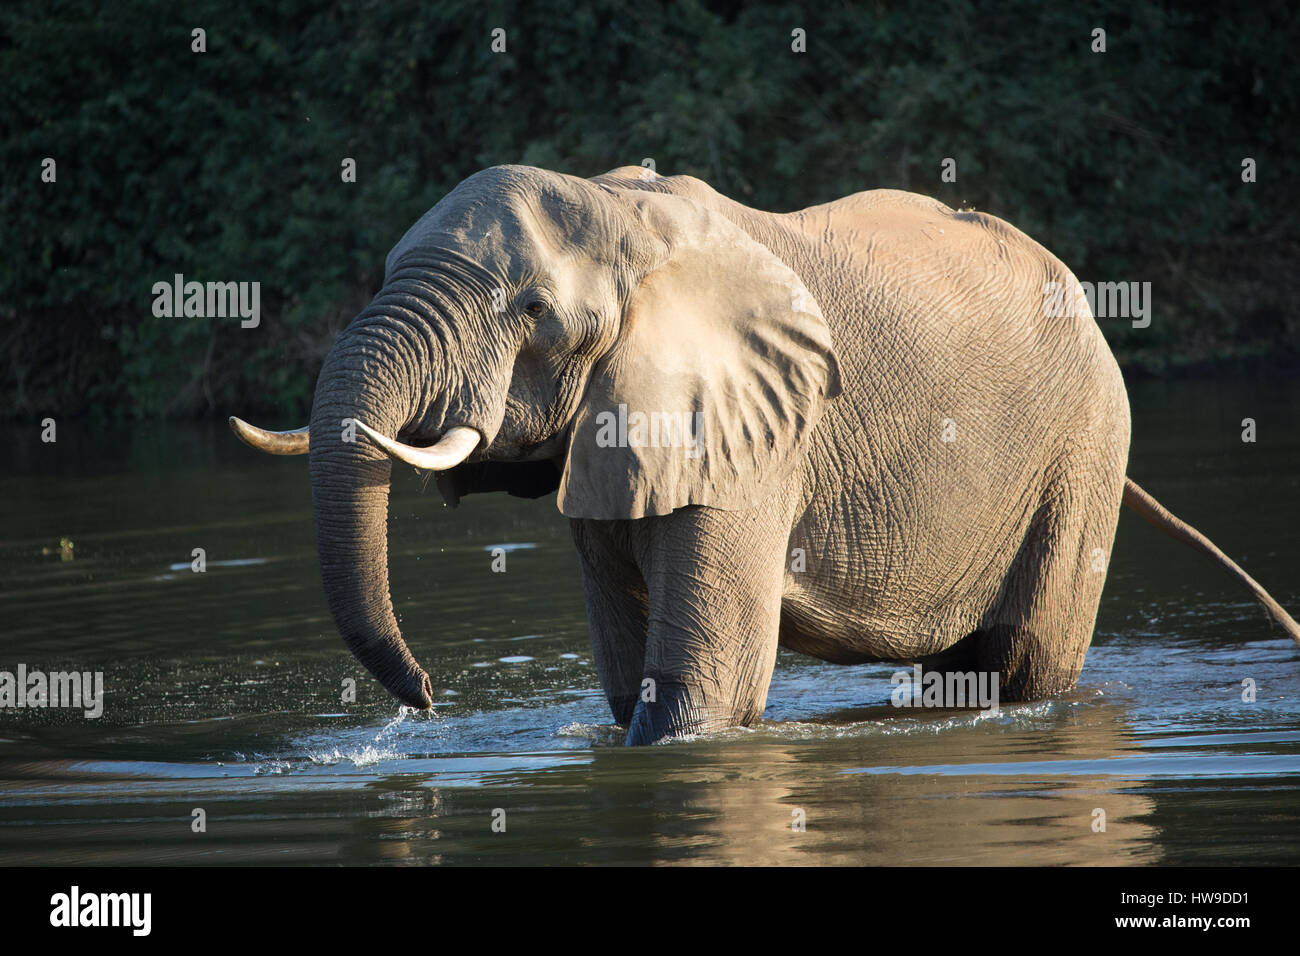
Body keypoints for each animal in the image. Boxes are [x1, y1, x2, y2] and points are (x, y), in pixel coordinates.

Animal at [233, 166, 1300, 749]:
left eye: (530, 311)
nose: (424, 701)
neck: (621, 212)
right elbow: (631, 680)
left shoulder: (756, 435)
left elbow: (697, 694)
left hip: (1084, 444)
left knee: (1023, 665)